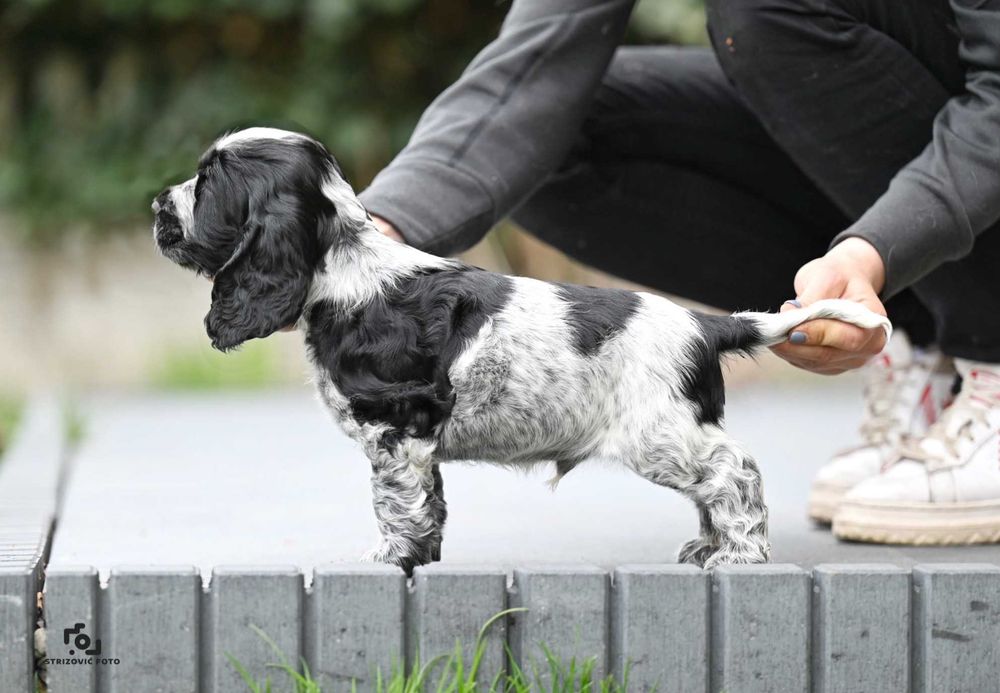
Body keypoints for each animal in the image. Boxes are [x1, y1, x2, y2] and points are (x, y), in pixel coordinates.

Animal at [154, 127, 892, 572]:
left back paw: (739, 556)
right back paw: (707, 545)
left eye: (209, 183)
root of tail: (705, 324)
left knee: (735, 471)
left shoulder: (396, 424)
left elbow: (395, 502)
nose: (157, 204)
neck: (346, 269)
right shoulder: (418, 439)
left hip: (658, 433)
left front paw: (390, 559)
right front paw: (421, 553)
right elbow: (427, 501)